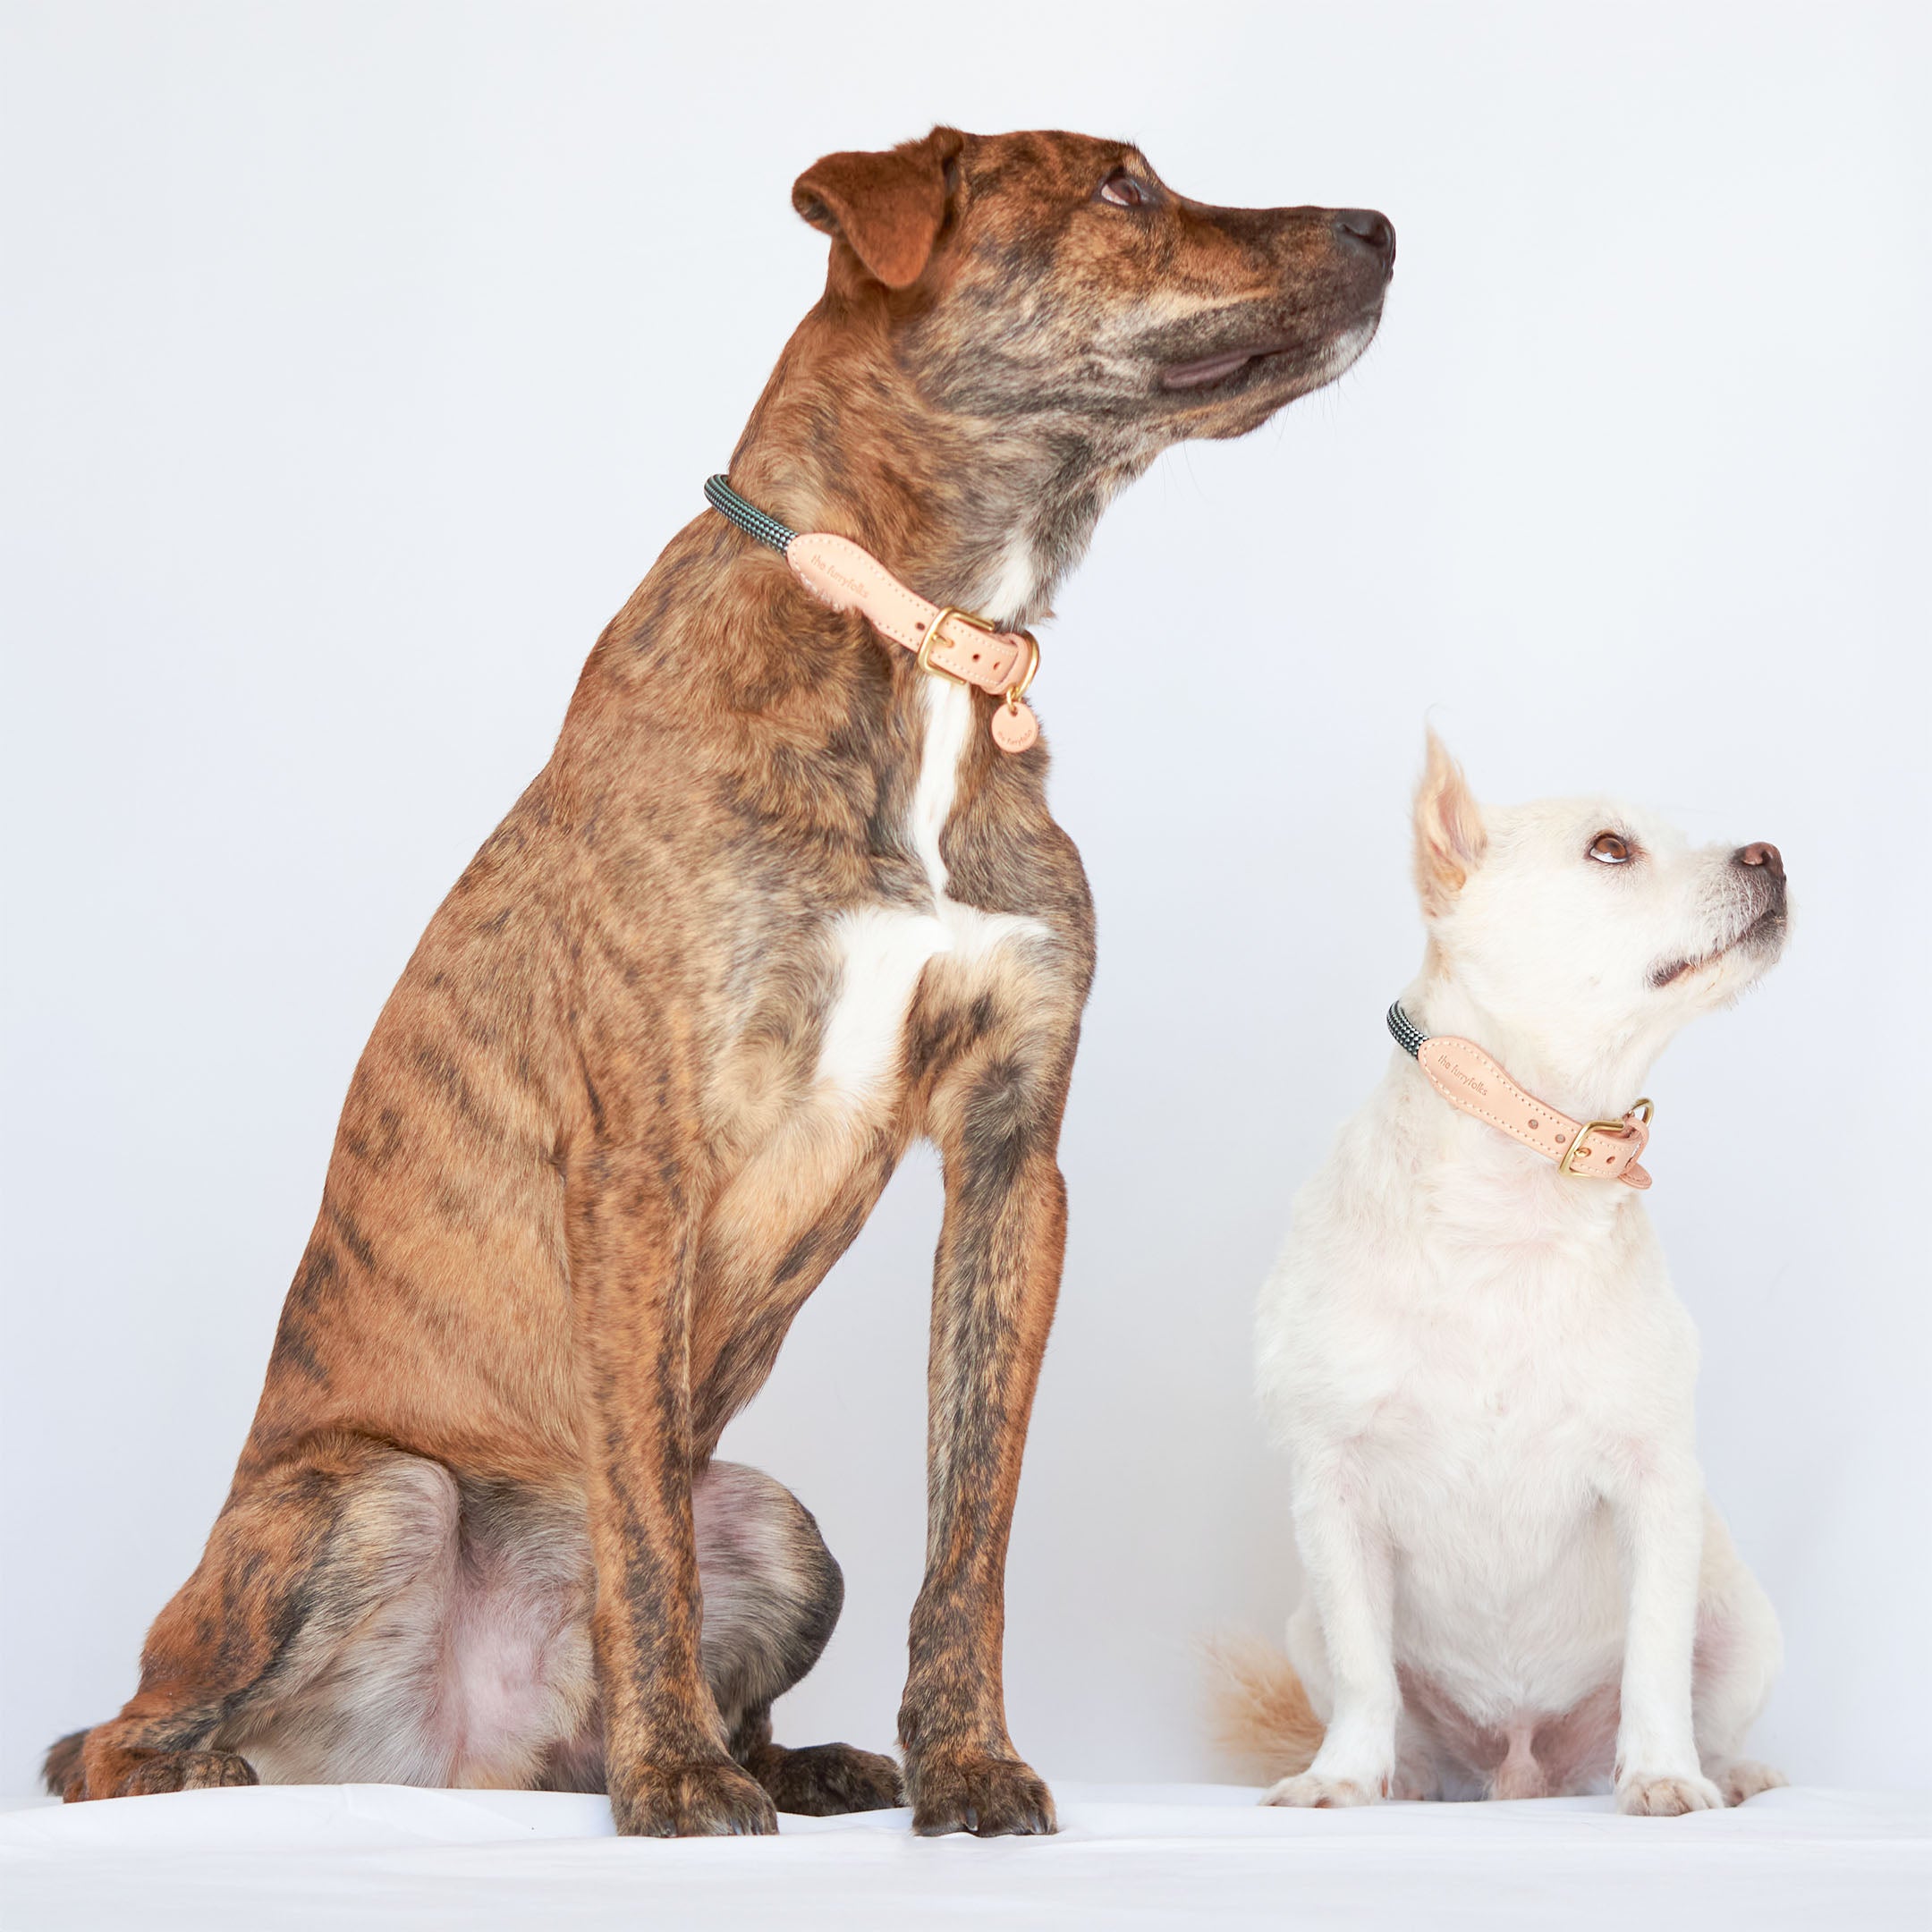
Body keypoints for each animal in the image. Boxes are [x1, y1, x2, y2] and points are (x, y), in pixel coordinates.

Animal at [53, 124, 1398, 1839]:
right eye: (1118, 189)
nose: (1383, 227)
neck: (923, 640)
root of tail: (461, 1756)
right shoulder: (641, 1165)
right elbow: (641, 1538)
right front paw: (677, 1775)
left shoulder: (1011, 1163)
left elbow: (972, 1534)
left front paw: (968, 1762)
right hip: (359, 1497)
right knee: (107, 1741)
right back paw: (231, 1768)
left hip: (778, 1521)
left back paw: (795, 1760)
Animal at [1228, 733, 1784, 1808]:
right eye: (1611, 848)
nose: (1771, 854)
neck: (1514, 1200)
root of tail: (1522, 1764)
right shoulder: (1334, 1486)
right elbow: (1364, 1671)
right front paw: (1342, 1778)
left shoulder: (1657, 1483)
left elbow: (1657, 1654)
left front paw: (1663, 1775)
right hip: (1306, 1626)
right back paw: (1401, 1780)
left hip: (1745, 1626)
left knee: (1712, 1705)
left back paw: (1728, 1775)